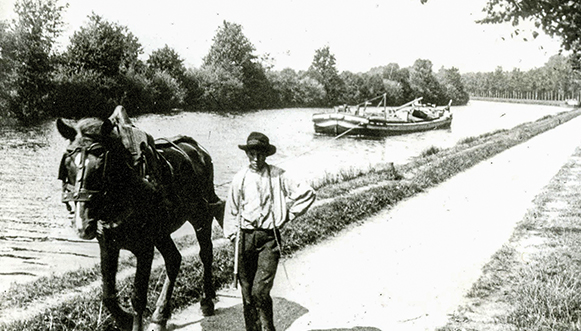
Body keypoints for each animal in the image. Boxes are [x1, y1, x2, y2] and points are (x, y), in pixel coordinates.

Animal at [56, 115, 223, 331]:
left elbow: (138, 297)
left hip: (200, 215)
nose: (82, 225)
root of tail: (198, 149)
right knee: (173, 259)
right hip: (162, 233)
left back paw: (206, 300)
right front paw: (125, 319)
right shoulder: (108, 244)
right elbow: (108, 294)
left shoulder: (145, 247)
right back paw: (160, 314)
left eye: (101, 164)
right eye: (67, 164)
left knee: (205, 252)